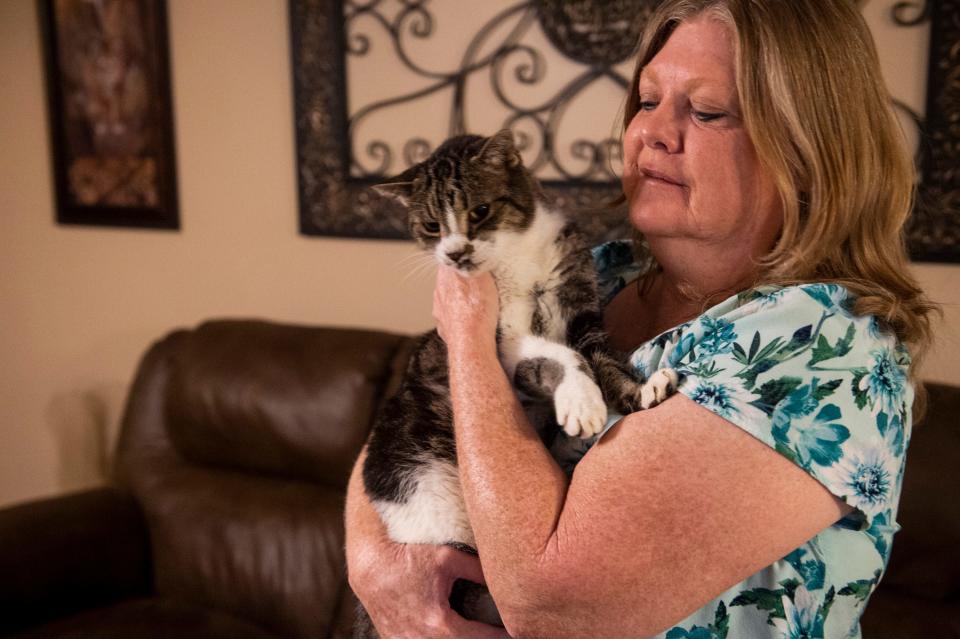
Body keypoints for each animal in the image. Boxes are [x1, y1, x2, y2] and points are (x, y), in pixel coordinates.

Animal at [352, 131, 676, 639]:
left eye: (480, 211)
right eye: (431, 225)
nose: (455, 253)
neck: (517, 259)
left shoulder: (580, 309)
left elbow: (600, 357)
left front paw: (640, 393)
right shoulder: (504, 341)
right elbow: (562, 356)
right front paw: (582, 404)